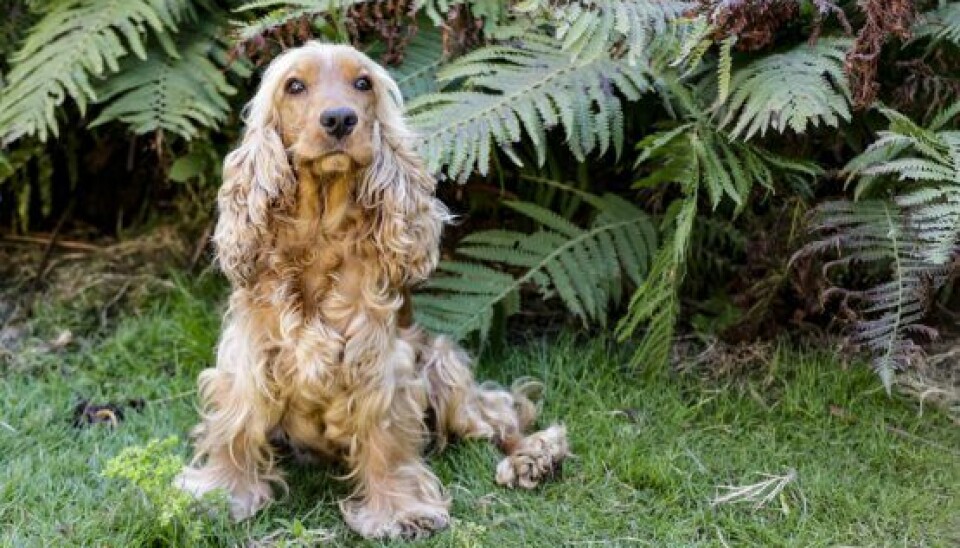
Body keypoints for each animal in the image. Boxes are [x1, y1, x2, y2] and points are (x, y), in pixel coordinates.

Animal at [175, 42, 568, 540]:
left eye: (362, 83)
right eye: (294, 86)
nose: (340, 119)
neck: (320, 232)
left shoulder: (378, 361)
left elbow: (385, 436)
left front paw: (400, 511)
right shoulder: (249, 353)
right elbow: (236, 425)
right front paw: (220, 493)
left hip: (441, 362)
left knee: (502, 414)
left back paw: (533, 456)